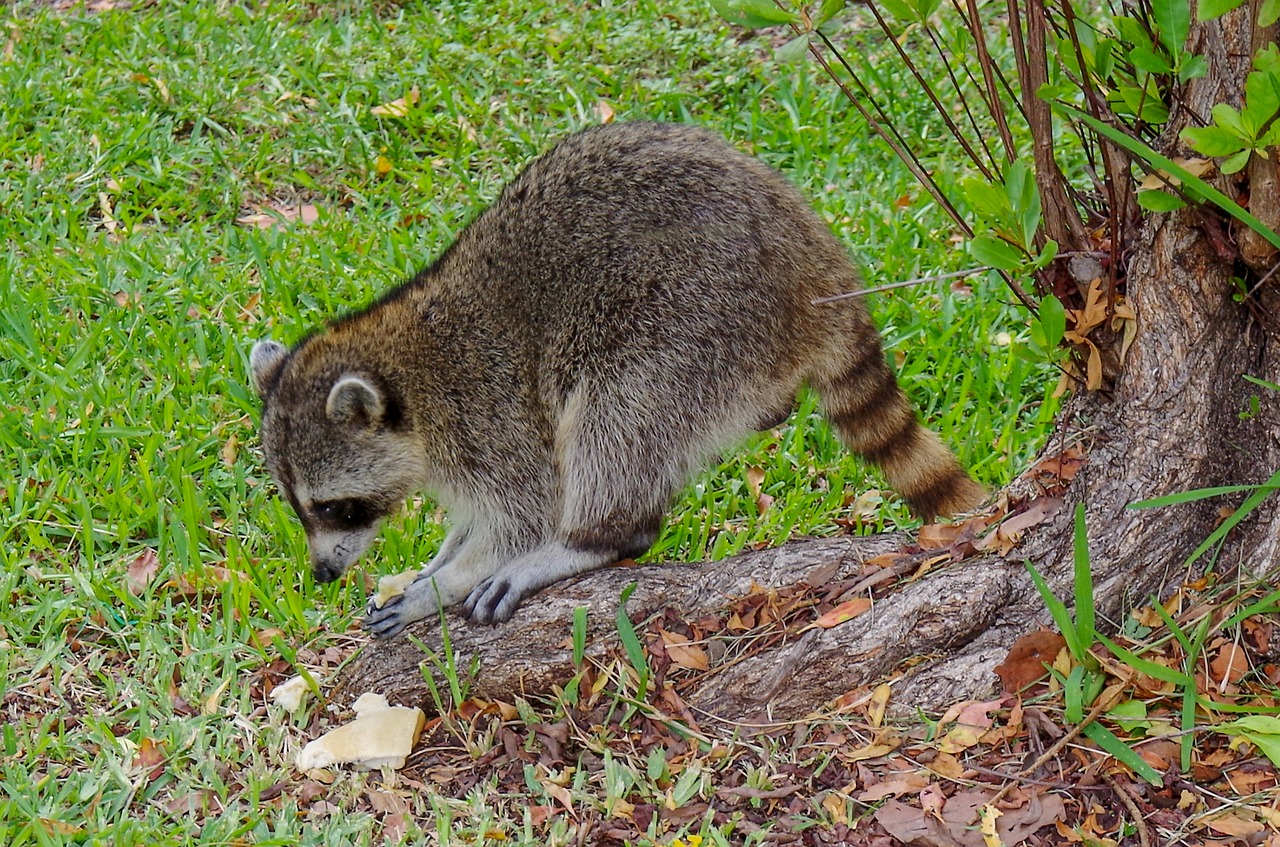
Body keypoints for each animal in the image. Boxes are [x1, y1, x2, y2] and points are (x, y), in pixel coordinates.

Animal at [252, 119, 988, 637]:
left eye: (335, 507)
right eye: (301, 507)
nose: (322, 573)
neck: (404, 368)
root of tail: (819, 263)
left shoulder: (487, 410)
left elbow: (526, 510)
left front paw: (450, 580)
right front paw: (438, 561)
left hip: (700, 317)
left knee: (619, 407)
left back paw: (595, 537)